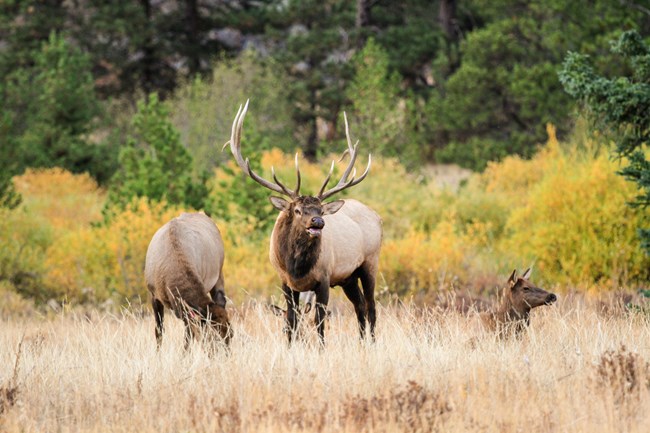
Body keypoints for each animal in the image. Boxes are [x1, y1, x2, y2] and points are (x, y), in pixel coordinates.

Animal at [145, 212, 233, 350]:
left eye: (230, 334)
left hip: (219, 273)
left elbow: (188, 336)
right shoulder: (154, 295)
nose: (227, 353)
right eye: (212, 336)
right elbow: (159, 331)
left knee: (220, 299)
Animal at [226, 100, 382, 345]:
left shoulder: (324, 279)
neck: (297, 268)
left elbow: (319, 322)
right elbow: (291, 320)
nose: (318, 222)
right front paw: (291, 346)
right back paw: (361, 343)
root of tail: (377, 216)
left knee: (371, 306)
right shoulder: (285, 282)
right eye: (298, 210)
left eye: (320, 209)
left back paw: (372, 343)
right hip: (348, 277)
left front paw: (321, 348)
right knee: (359, 306)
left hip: (370, 263)